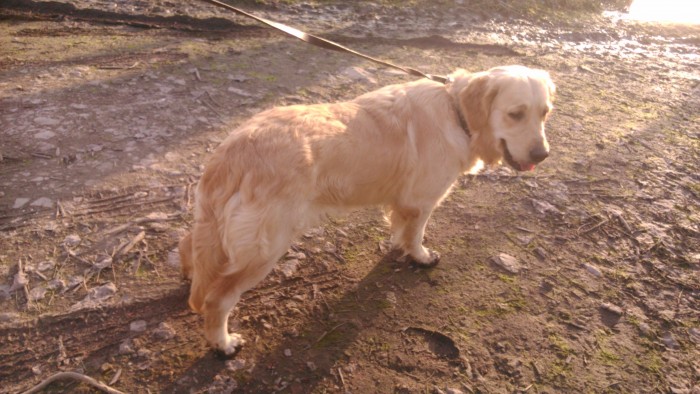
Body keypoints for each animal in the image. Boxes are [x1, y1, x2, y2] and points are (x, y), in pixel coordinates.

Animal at [180, 63, 556, 354]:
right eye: (515, 114)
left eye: (545, 113)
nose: (543, 155)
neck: (457, 111)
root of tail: (232, 152)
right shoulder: (422, 200)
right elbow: (416, 234)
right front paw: (420, 257)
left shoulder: (404, 202)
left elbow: (400, 231)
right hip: (265, 248)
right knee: (217, 299)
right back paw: (222, 343)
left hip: (220, 228)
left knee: (189, 246)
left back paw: (188, 275)